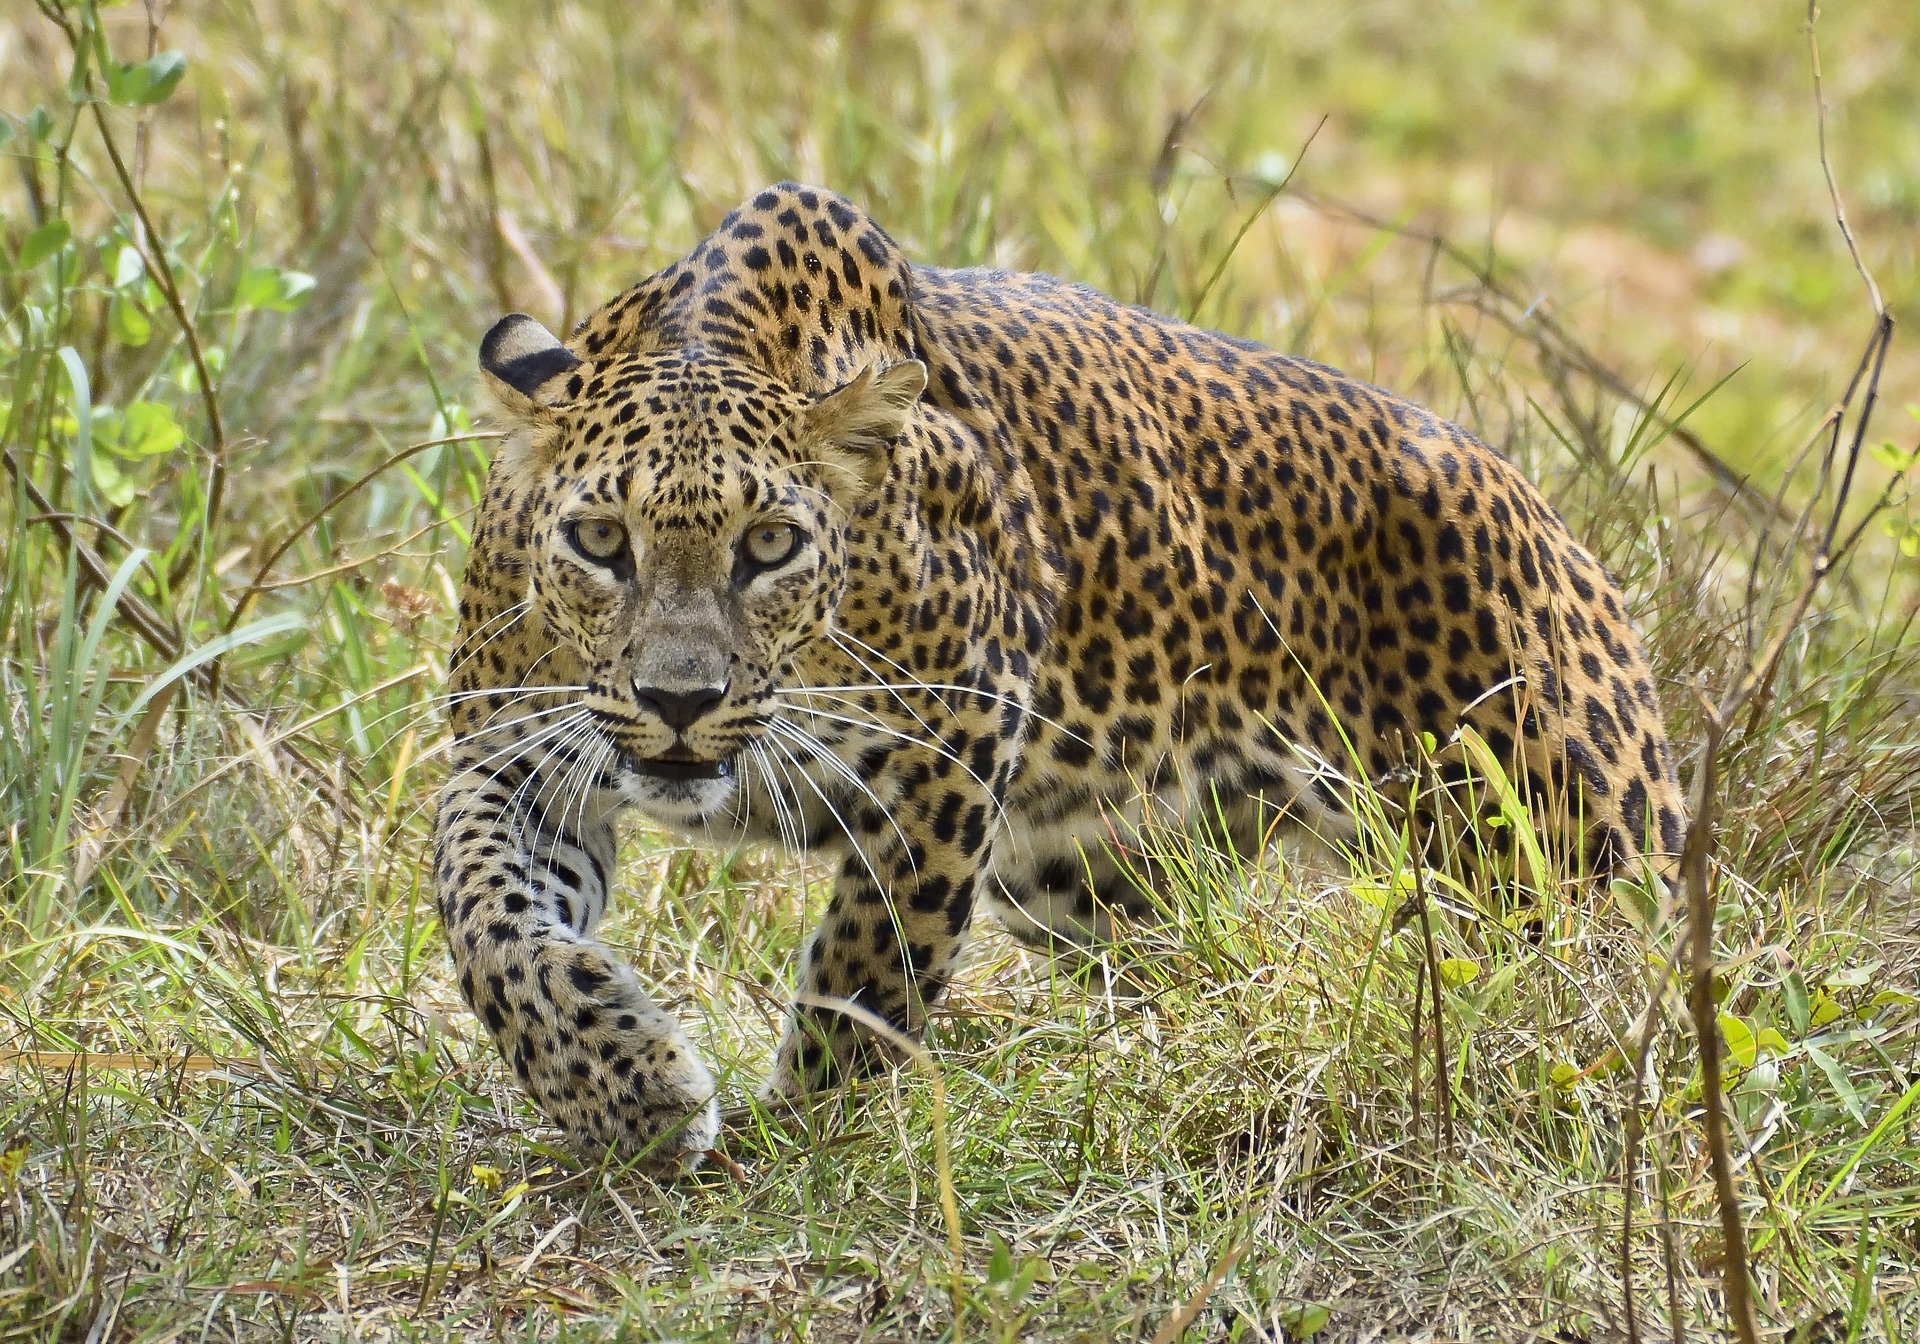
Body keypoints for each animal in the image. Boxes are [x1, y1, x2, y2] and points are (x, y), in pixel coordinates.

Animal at [432, 181, 1681, 1175]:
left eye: (770, 546)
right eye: (601, 542)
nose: (680, 704)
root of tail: (1545, 513)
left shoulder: (953, 746)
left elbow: (871, 966)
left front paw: (795, 1133)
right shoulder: (511, 755)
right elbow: (489, 923)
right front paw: (627, 1093)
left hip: (1564, 849)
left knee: (1624, 986)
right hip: (1087, 874)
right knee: (1194, 963)